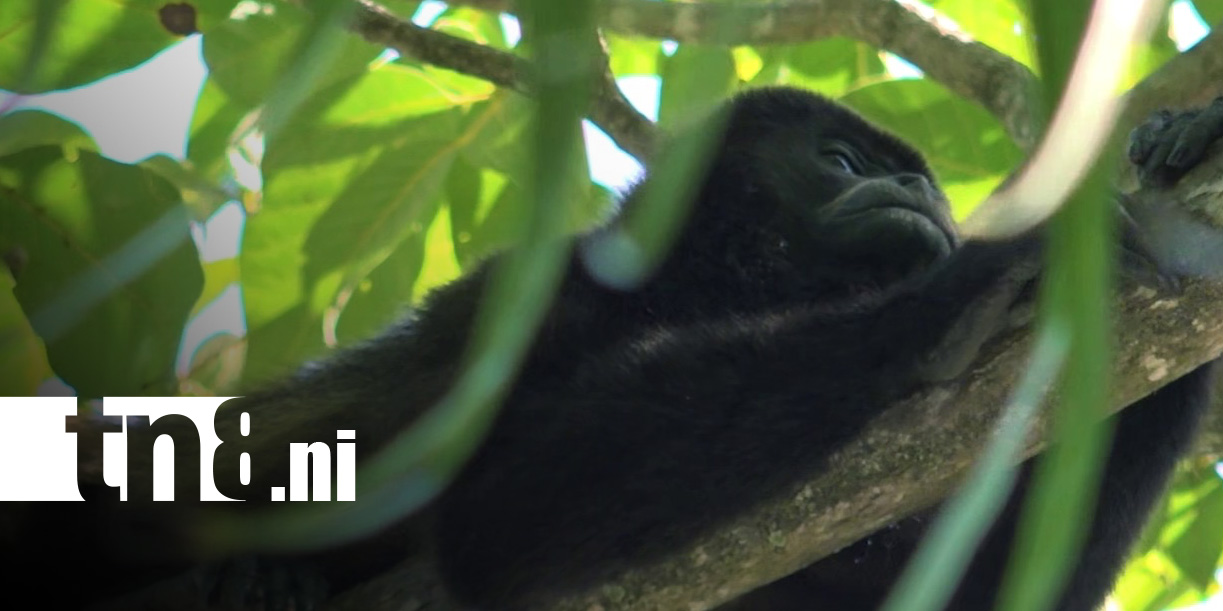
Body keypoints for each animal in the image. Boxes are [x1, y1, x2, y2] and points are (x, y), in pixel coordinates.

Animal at [12, 87, 1222, 611]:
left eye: (917, 173)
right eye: (837, 160)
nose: (922, 193)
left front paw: (1183, 146)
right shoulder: (549, 293)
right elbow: (497, 517)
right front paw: (954, 297)